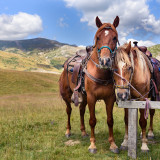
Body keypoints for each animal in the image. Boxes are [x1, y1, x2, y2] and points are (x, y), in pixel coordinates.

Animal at [59, 16, 119, 154]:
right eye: (98, 37)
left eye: (115, 37)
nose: (105, 61)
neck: (100, 74)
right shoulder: (92, 98)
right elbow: (92, 120)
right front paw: (92, 145)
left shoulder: (110, 99)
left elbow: (110, 120)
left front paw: (113, 144)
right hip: (66, 95)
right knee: (69, 111)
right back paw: (68, 131)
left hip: (84, 97)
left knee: (81, 110)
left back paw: (83, 132)